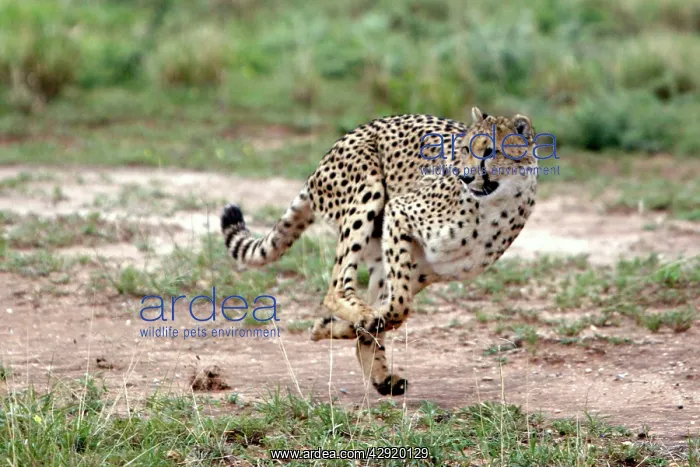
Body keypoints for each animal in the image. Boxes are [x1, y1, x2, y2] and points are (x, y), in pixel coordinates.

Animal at [220, 107, 539, 396]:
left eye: (491, 151)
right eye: (463, 149)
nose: (465, 177)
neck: (495, 203)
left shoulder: (426, 269)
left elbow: (393, 310)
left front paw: (339, 327)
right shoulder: (399, 213)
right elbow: (398, 307)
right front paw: (362, 321)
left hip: (382, 249)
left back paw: (378, 371)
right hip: (366, 196)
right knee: (336, 288)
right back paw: (361, 325)